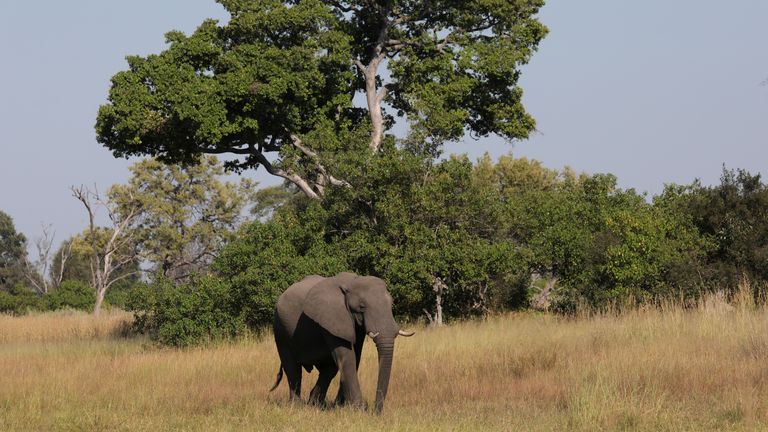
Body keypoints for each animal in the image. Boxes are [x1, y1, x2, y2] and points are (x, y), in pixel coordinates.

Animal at [270, 272, 414, 413]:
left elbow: (355, 356)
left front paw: (342, 406)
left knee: (329, 369)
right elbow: (348, 357)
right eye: (362, 307)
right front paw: (358, 409)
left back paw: (315, 404)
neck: (352, 282)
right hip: (280, 328)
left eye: (391, 303)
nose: (376, 412)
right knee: (292, 368)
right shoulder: (332, 317)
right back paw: (297, 406)